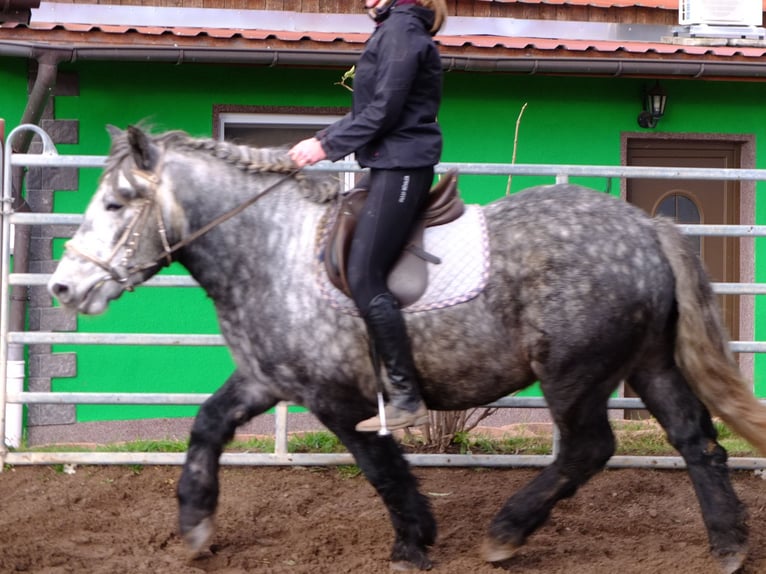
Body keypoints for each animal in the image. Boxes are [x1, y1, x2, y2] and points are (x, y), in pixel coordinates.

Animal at [46, 127, 766, 574]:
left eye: (116, 203)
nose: (63, 287)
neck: (270, 251)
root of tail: (646, 226)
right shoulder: (268, 378)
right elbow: (206, 426)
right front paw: (195, 527)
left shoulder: (339, 398)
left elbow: (381, 466)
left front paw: (413, 542)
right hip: (647, 363)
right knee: (696, 440)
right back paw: (728, 544)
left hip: (575, 373)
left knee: (589, 449)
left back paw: (506, 533)